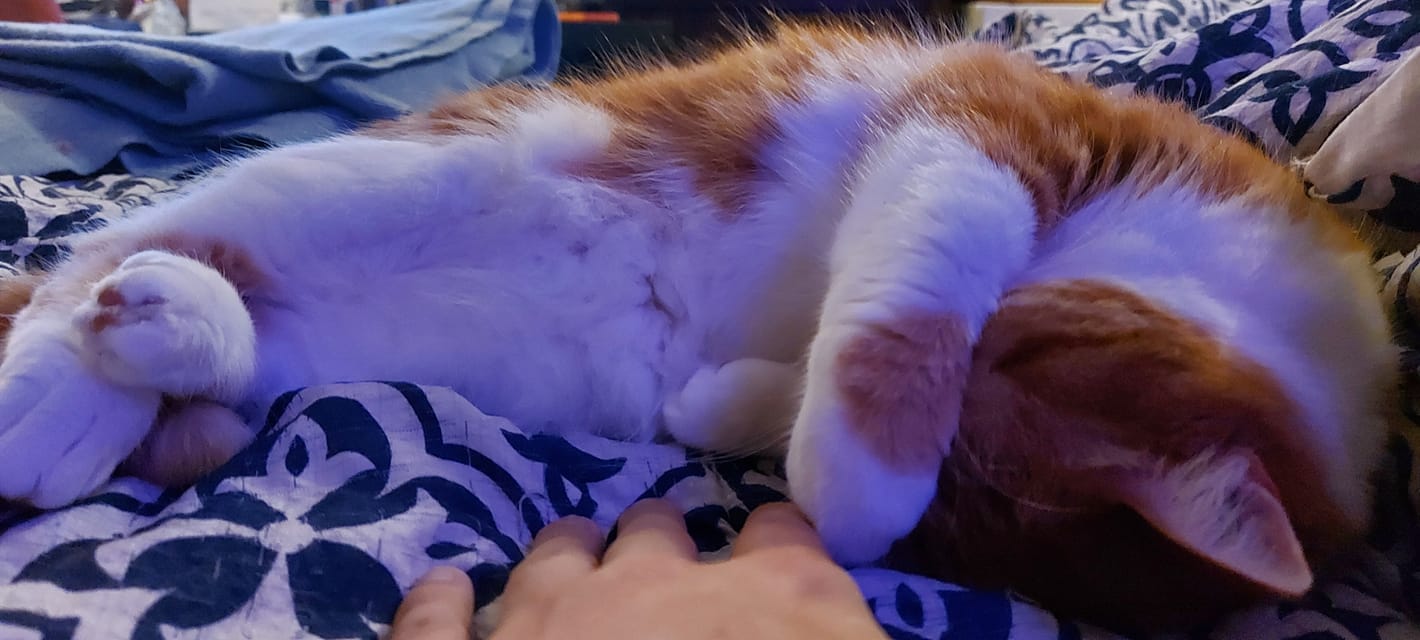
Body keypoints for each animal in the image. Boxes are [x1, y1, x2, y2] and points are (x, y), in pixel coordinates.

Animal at [0, 26, 1397, 630]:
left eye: (963, 517)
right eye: (1002, 359)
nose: (920, 467)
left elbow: (802, 359)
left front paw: (737, 405)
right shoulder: (984, 123)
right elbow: (918, 270)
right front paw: (854, 476)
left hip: (361, 342)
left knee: (218, 344)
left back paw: (159, 347)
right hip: (393, 174)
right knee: (89, 263)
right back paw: (56, 384)